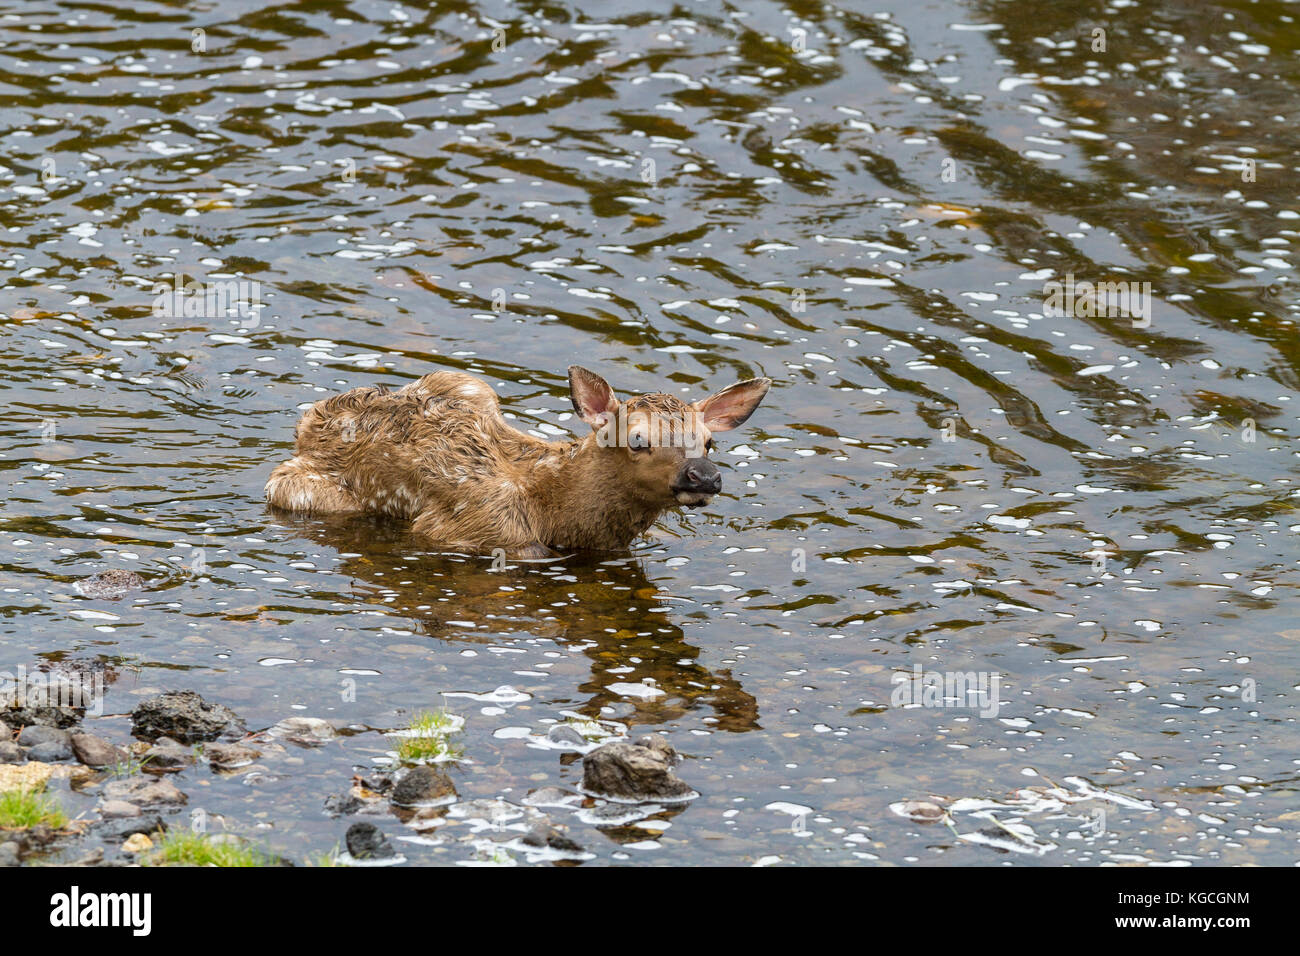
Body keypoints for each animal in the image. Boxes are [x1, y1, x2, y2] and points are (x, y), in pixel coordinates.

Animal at [266, 369, 769, 561]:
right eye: (638, 438)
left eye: (709, 442)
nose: (704, 476)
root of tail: (313, 419)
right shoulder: (479, 530)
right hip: (298, 489)